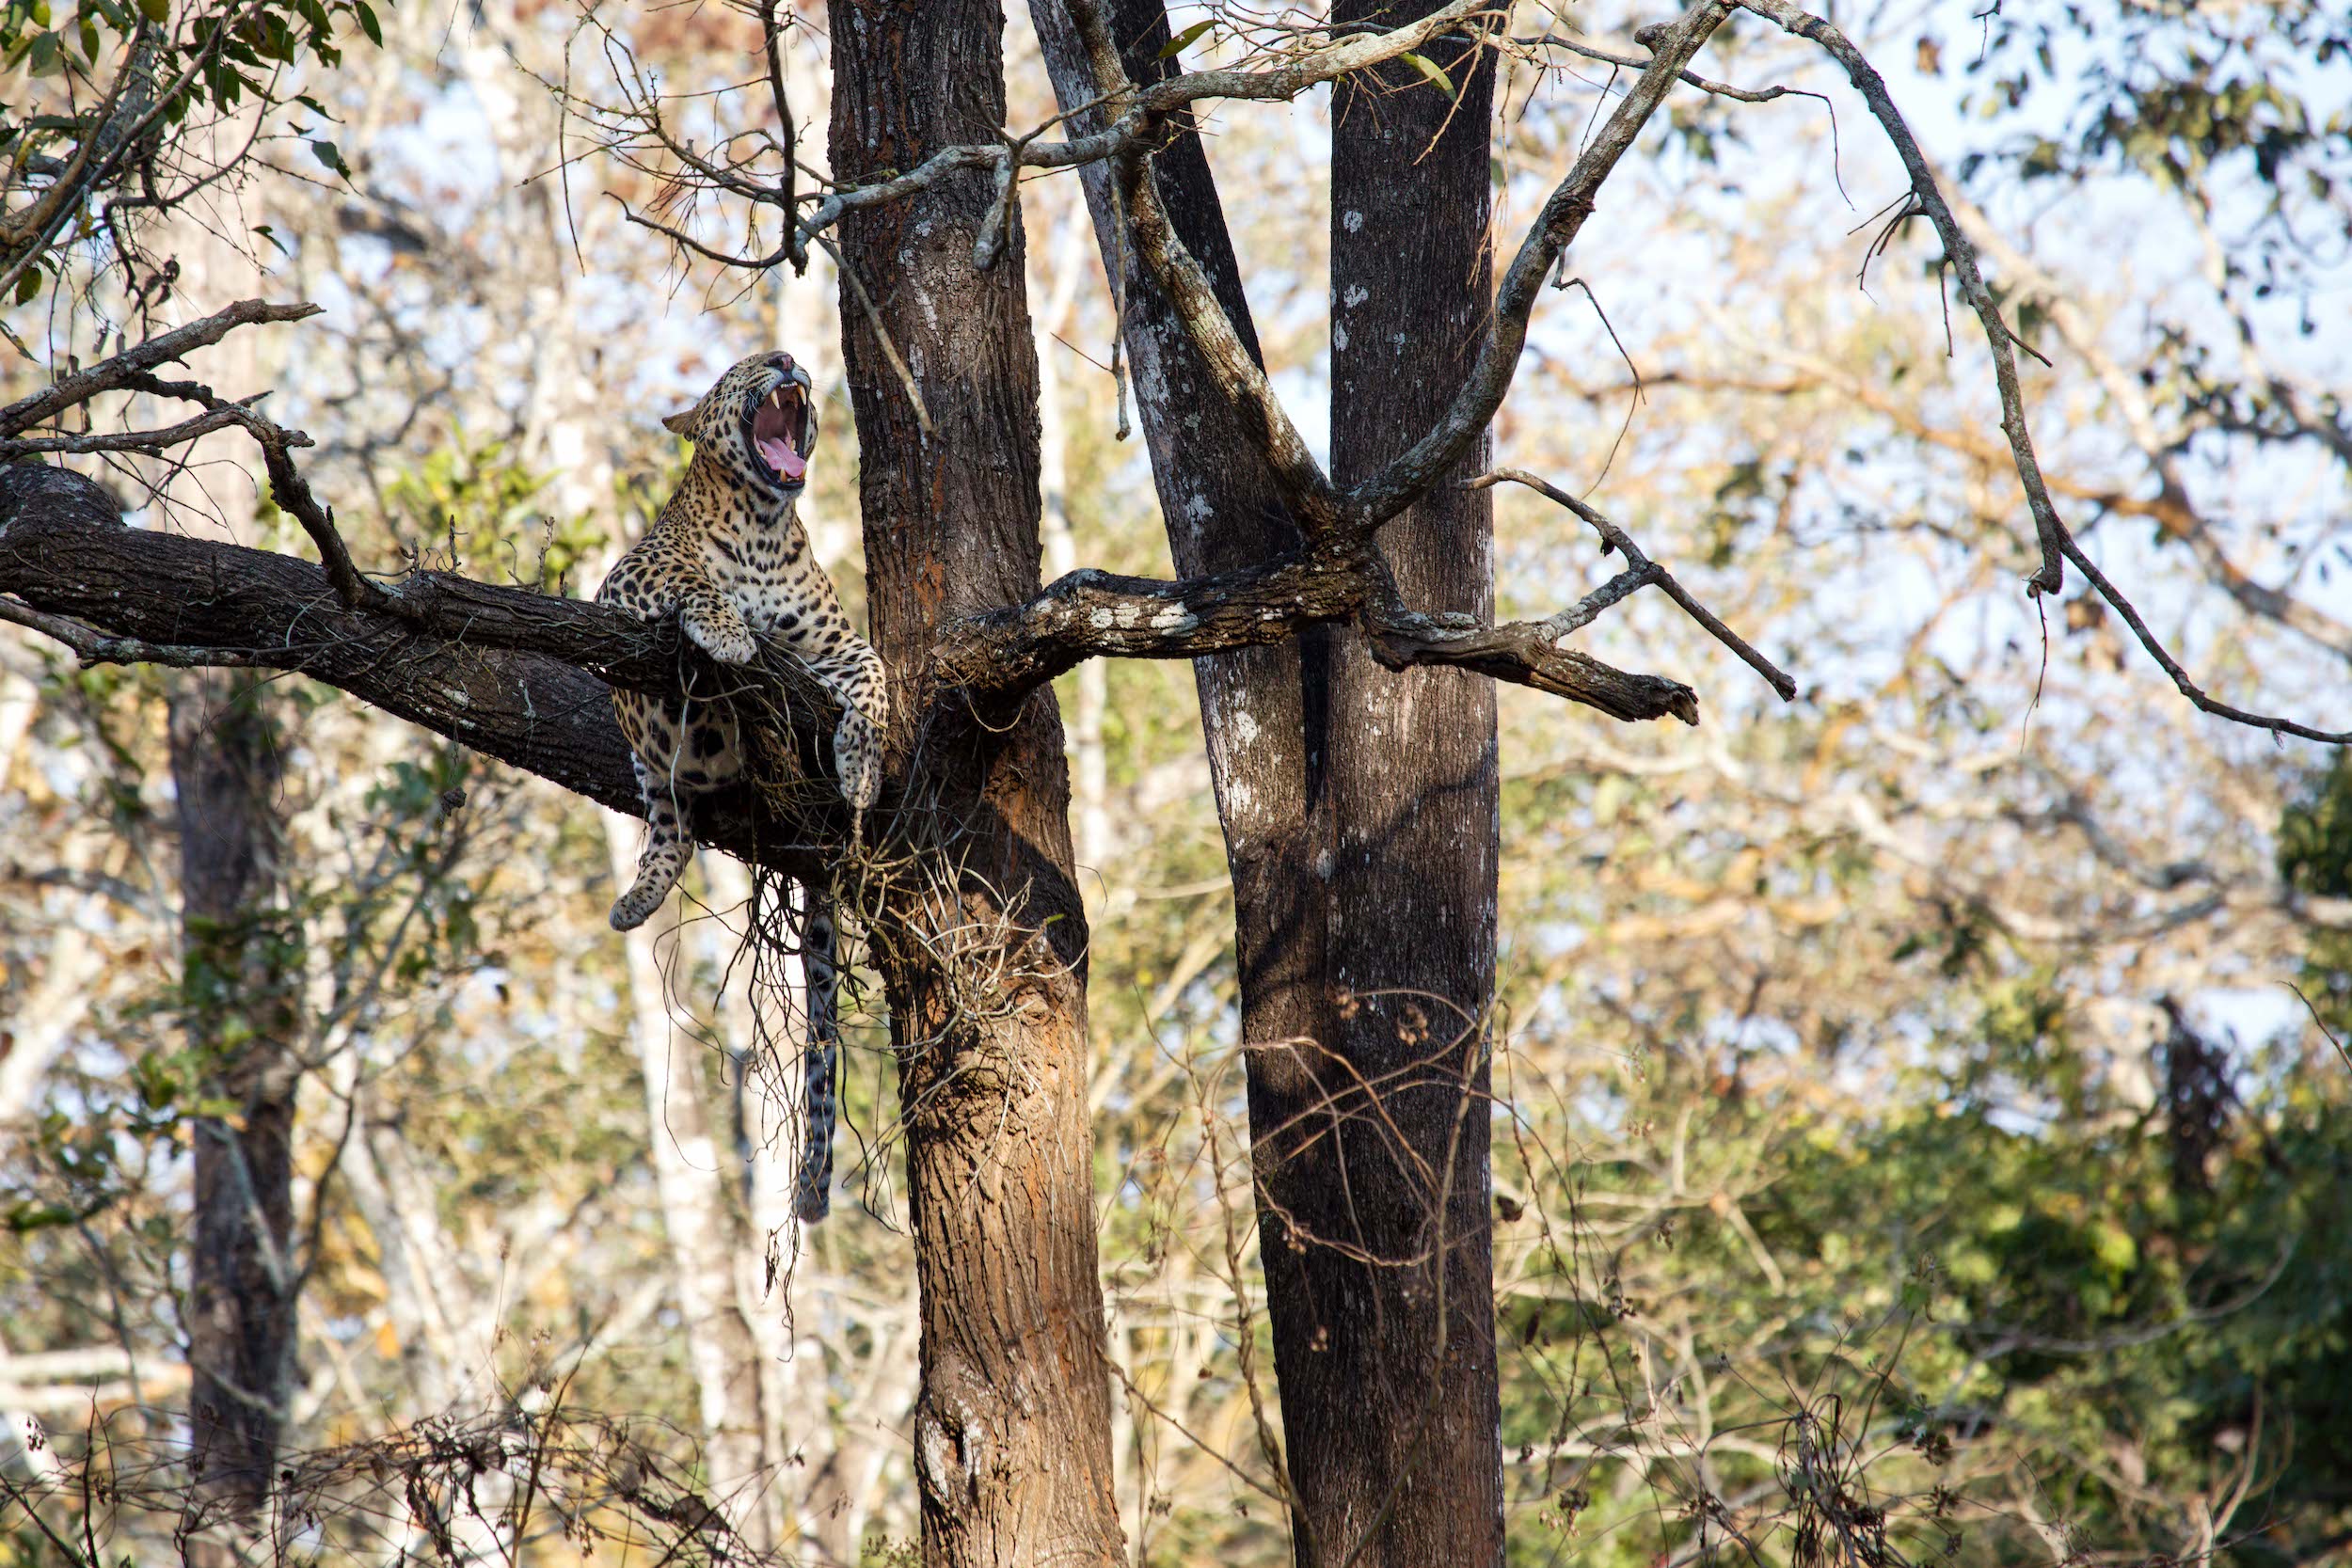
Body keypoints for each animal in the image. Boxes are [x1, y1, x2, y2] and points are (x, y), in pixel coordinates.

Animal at [597, 347, 887, 1223]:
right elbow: (694, 579)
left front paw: (862, 762)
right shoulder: (626, 575)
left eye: (781, 358)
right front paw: (727, 630)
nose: (788, 358)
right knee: (669, 820)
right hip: (649, 743)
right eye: (751, 365)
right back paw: (637, 895)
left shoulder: (835, 644)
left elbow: (874, 676)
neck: (763, 525)